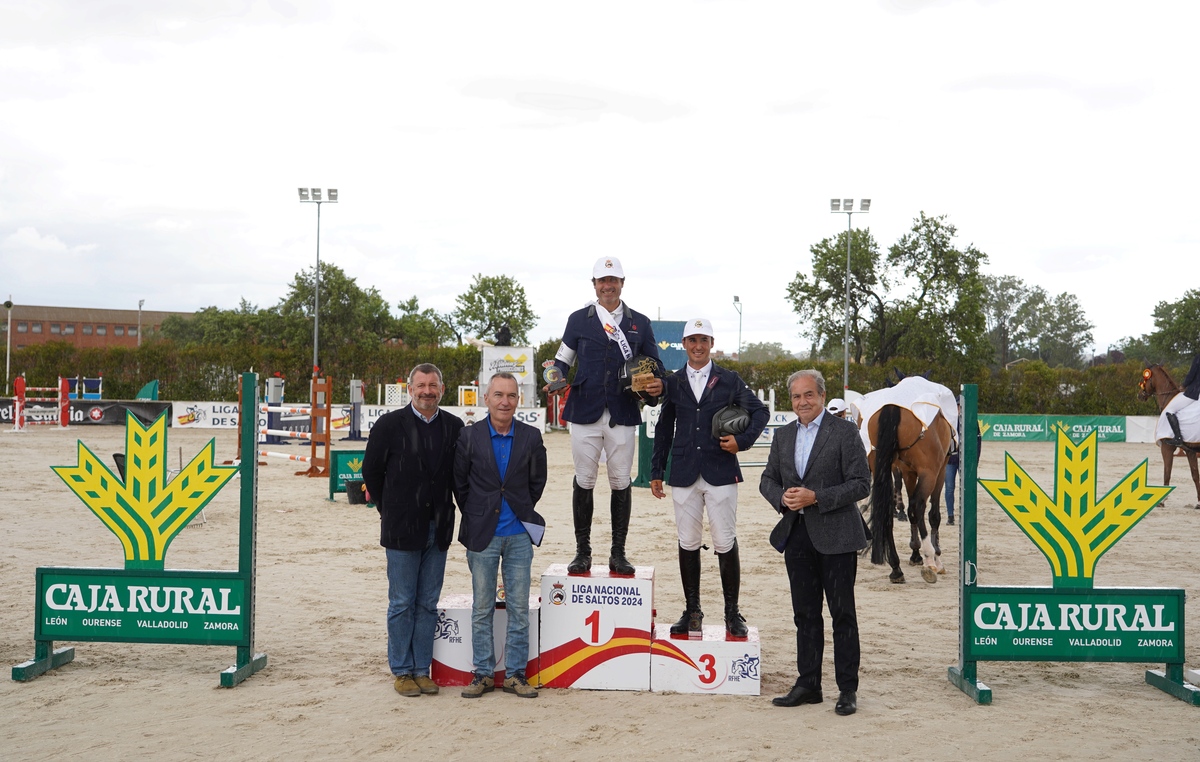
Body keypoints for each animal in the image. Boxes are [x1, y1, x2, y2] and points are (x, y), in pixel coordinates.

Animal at [868, 405, 950, 583]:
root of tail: (892, 406)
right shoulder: (940, 471)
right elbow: (933, 515)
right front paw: (936, 556)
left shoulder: (908, 472)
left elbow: (912, 514)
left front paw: (915, 554)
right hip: (929, 473)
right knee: (918, 506)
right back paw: (929, 559)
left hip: (882, 469)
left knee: (887, 513)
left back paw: (896, 569)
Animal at [1132, 364, 1200, 506]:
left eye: (1145, 378)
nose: (1139, 395)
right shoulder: (1189, 450)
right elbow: (1195, 475)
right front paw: (1199, 502)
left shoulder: (1166, 448)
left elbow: (1167, 472)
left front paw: (1162, 501)